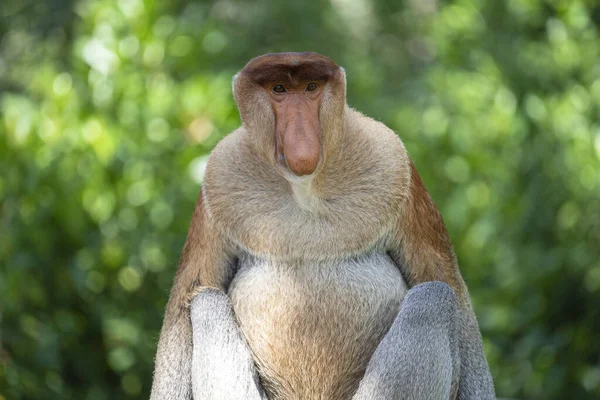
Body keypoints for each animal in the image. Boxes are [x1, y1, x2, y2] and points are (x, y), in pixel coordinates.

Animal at [149, 53, 492, 400]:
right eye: (279, 89)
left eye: (311, 87)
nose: (302, 142)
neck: (305, 188)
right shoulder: (218, 177)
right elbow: (187, 297)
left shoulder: (395, 163)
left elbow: (444, 281)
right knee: (205, 301)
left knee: (434, 296)